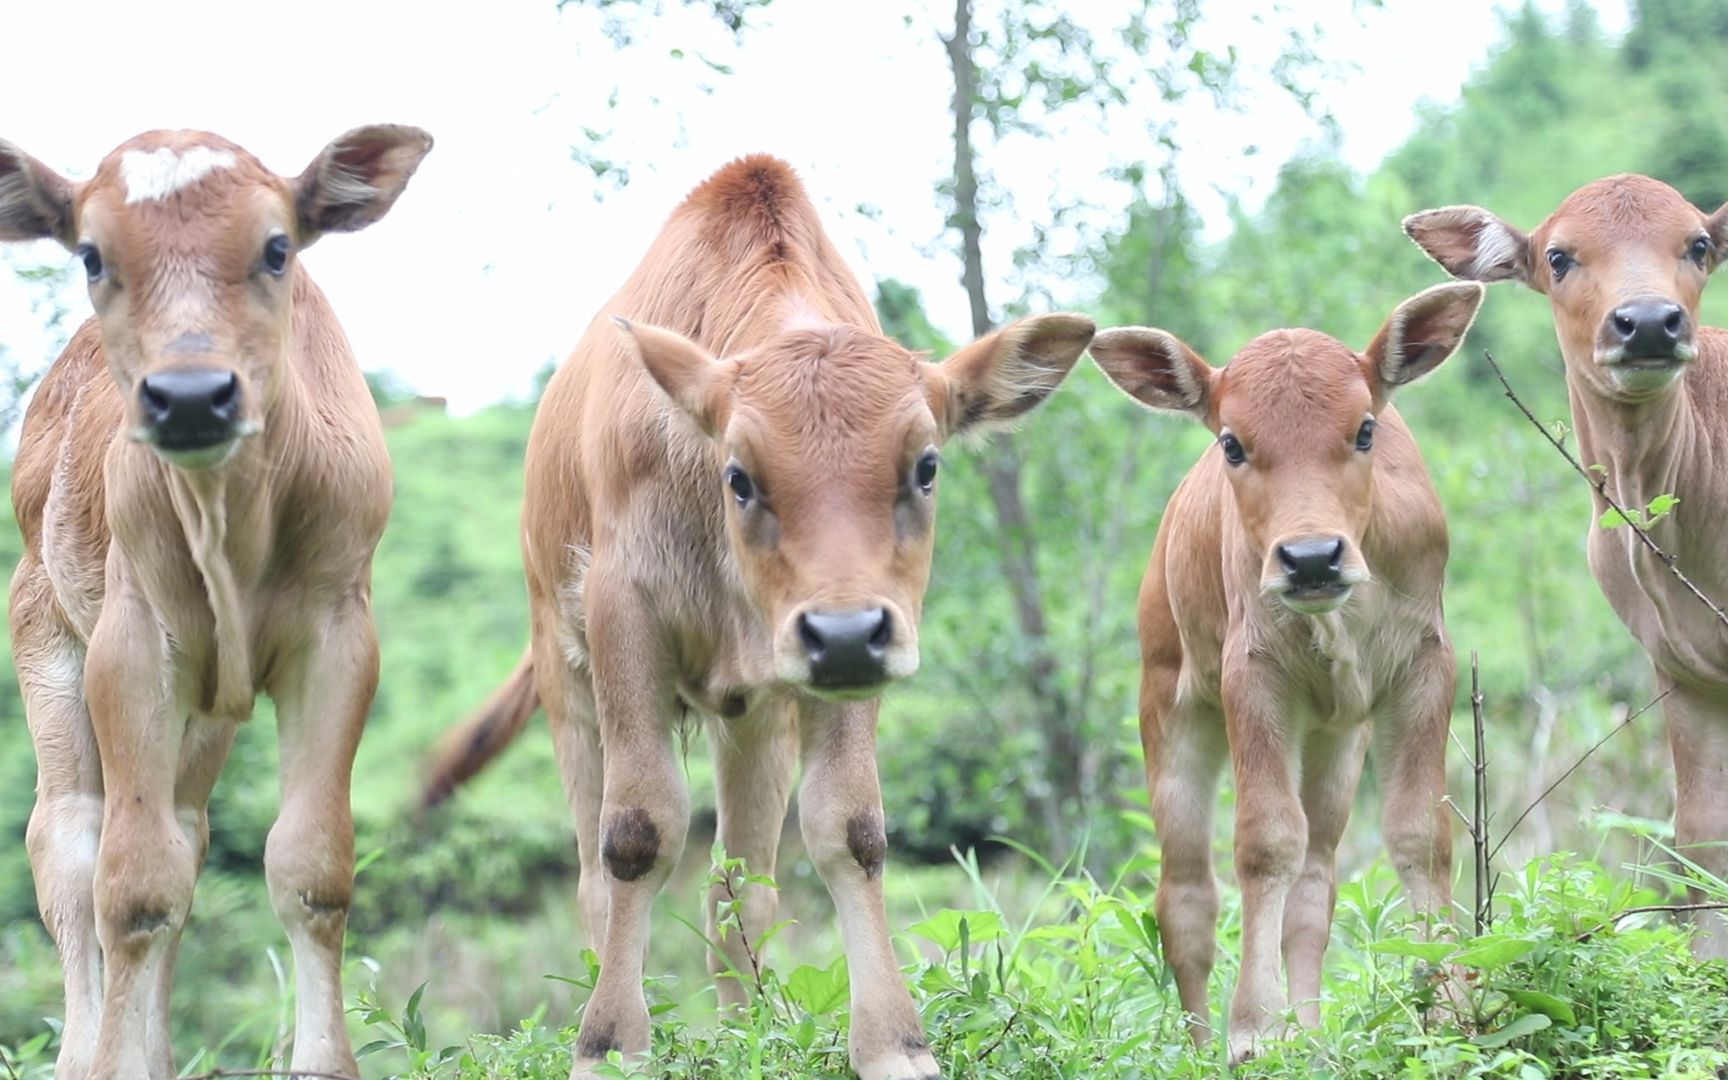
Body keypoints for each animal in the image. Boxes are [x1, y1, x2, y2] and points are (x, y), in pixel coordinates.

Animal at [1, 128, 432, 1078]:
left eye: (276, 249)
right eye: (92, 254)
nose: (192, 396)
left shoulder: (337, 635)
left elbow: (310, 865)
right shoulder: (132, 644)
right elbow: (128, 883)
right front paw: (114, 1067)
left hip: (206, 712)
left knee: (187, 835)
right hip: (44, 633)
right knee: (69, 844)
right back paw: (84, 1053)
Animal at [1085, 278, 1479, 1064]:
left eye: (1365, 430)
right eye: (1233, 443)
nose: (1311, 558)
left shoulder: (1425, 665)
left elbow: (1420, 833)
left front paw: (1451, 1007)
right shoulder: (1253, 677)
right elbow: (1265, 842)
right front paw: (1253, 1027)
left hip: (1335, 739)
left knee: (1315, 884)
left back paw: (1313, 1032)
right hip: (1169, 709)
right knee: (1186, 896)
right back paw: (1203, 1044)